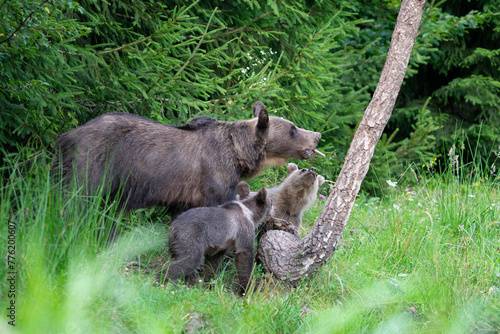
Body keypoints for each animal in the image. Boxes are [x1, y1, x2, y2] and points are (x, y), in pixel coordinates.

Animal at [54, 100, 320, 215]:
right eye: (293, 128)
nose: (316, 135)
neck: (239, 155)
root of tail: (67, 135)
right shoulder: (214, 177)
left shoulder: (182, 195)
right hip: (94, 160)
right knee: (77, 199)